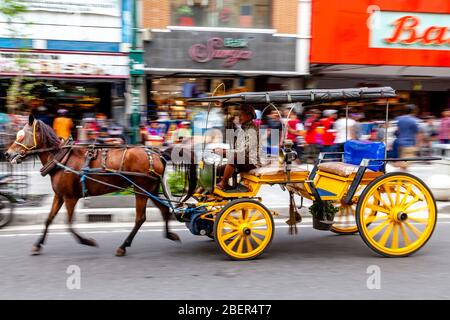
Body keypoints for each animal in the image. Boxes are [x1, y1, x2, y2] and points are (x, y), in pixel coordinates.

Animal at [4, 114, 181, 256]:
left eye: (21, 135)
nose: (7, 154)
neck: (61, 159)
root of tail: (157, 154)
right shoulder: (59, 195)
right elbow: (48, 219)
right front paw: (37, 245)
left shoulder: (70, 198)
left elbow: (69, 224)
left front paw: (87, 241)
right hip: (150, 190)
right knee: (164, 209)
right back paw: (169, 234)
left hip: (141, 190)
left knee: (140, 218)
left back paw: (123, 246)